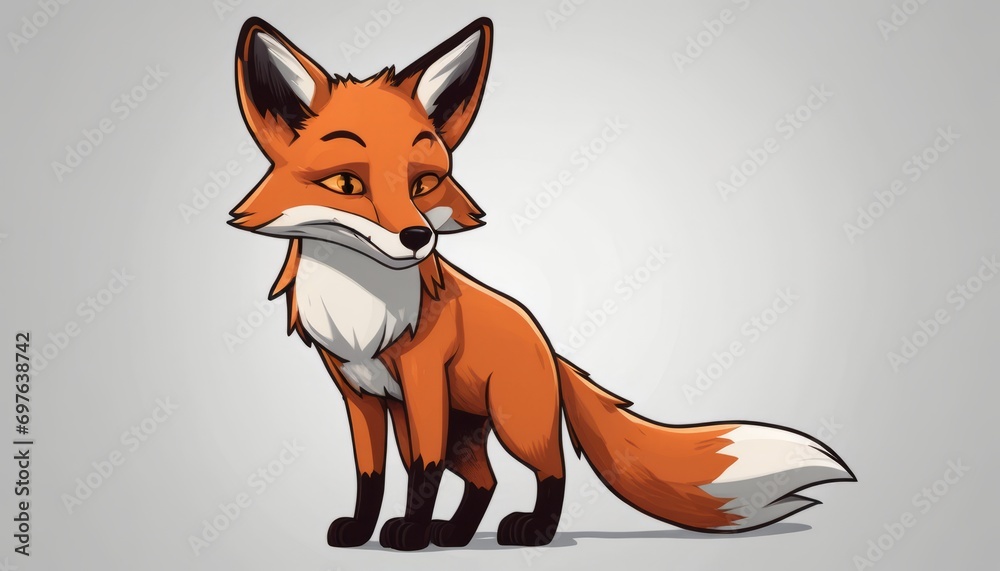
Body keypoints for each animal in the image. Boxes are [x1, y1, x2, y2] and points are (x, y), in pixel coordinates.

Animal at [228, 16, 855, 551]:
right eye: (345, 184)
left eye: (423, 183)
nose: (416, 237)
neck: (360, 310)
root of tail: (548, 345)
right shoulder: (359, 394)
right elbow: (371, 474)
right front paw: (363, 531)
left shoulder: (422, 381)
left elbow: (421, 474)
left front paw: (408, 534)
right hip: (460, 432)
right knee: (484, 480)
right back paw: (456, 534)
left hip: (513, 423)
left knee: (549, 471)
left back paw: (532, 531)